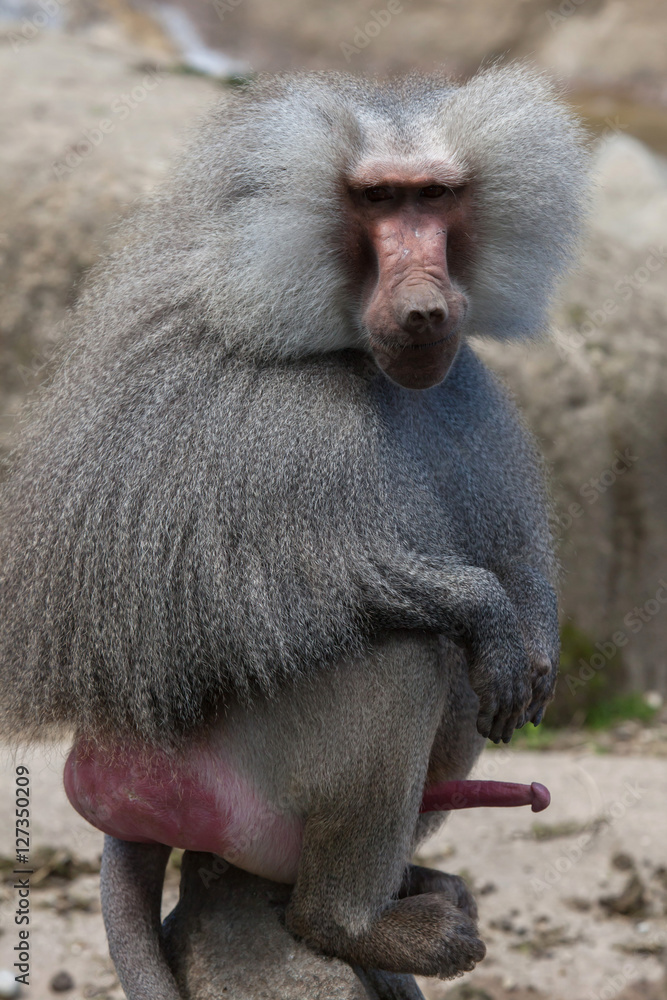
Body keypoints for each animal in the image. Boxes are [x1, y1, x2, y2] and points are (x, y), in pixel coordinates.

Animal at [0, 66, 589, 996]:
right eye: (378, 201)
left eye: (435, 197)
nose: (426, 307)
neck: (345, 345)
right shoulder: (285, 423)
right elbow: (289, 588)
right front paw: (488, 612)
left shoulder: (459, 389)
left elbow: (510, 594)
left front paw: (530, 639)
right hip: (241, 769)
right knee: (409, 656)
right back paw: (355, 922)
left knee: (460, 688)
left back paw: (407, 887)